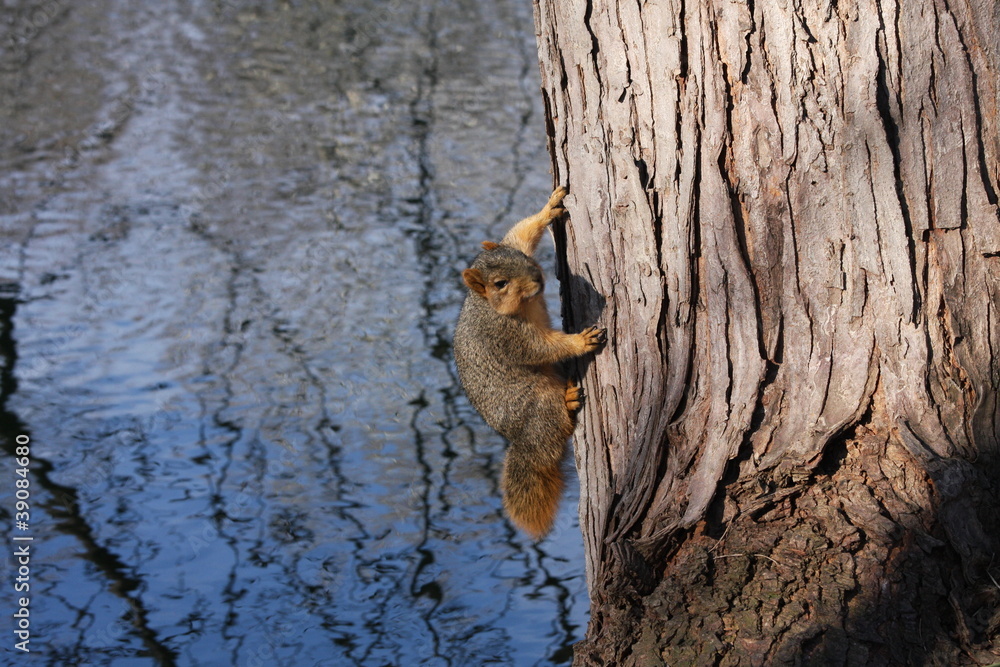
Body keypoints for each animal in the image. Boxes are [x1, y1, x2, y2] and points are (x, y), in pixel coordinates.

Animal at [456, 188, 608, 544]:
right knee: (555, 433)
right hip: (538, 401)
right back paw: (568, 401)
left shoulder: (517, 243)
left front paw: (549, 208)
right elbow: (541, 348)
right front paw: (581, 342)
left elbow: (522, 232)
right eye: (500, 283)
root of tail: (521, 441)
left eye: (519, 259)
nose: (538, 276)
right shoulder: (508, 335)